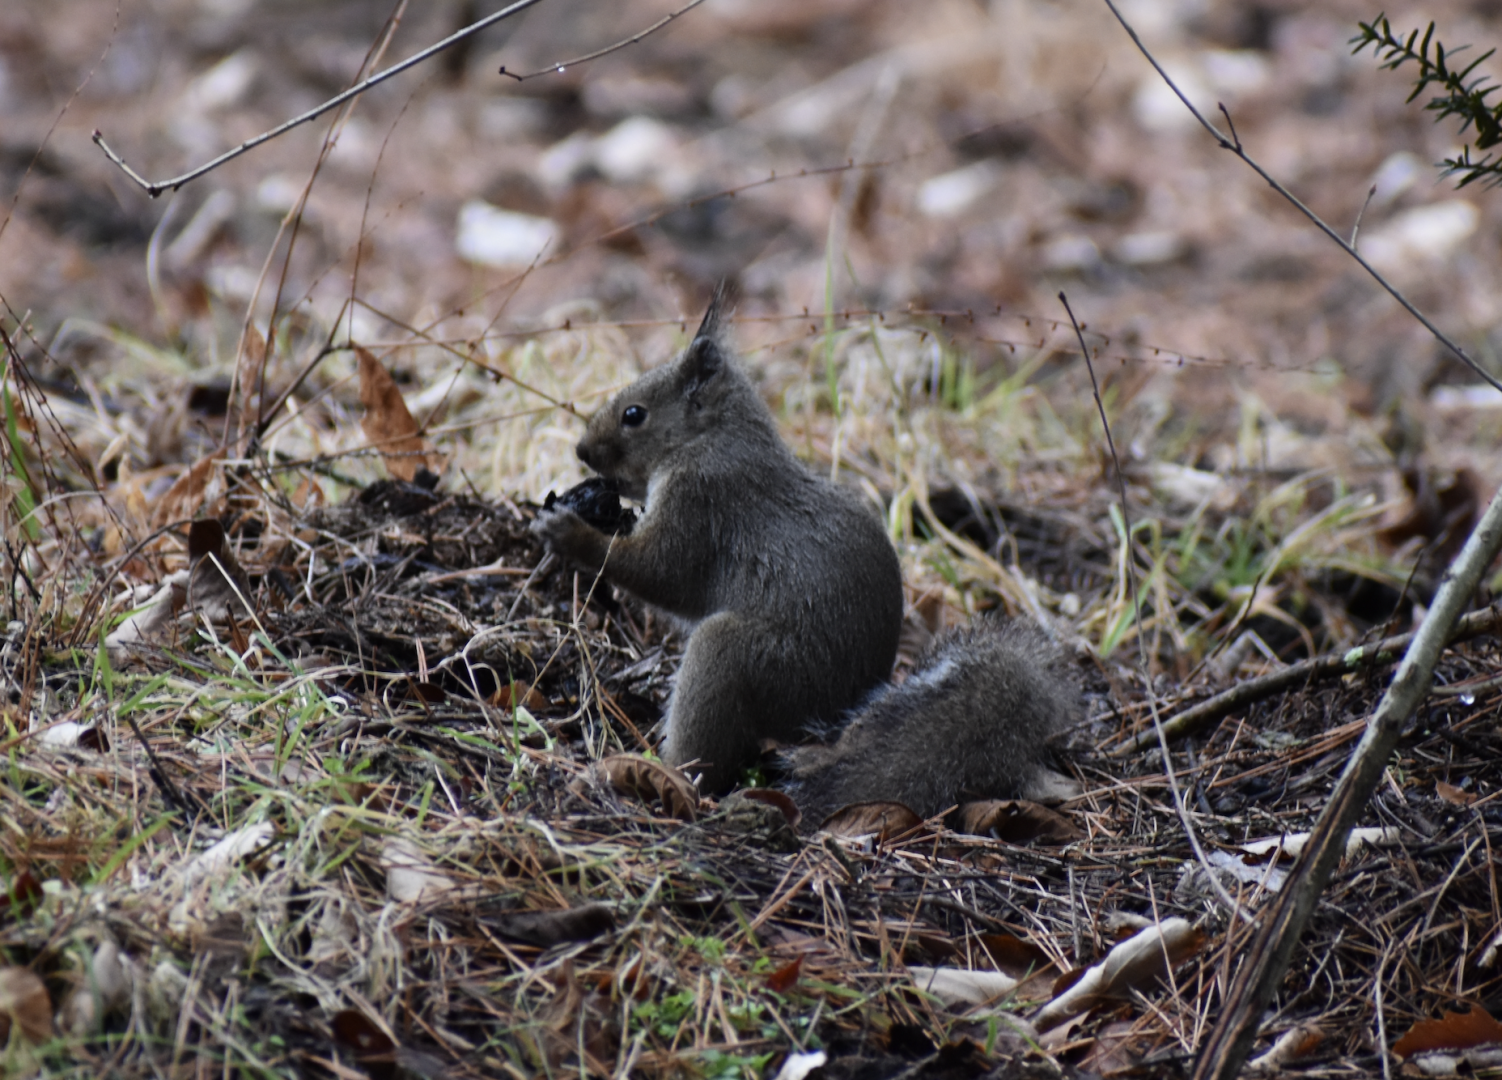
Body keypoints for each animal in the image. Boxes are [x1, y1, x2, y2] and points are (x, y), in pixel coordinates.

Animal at [531, 290, 1084, 814]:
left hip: (756, 663)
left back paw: (666, 769)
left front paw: (572, 532)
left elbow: (661, 573)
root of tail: (830, 720)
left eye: (634, 415)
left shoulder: (702, 500)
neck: (711, 437)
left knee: (710, 749)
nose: (581, 451)